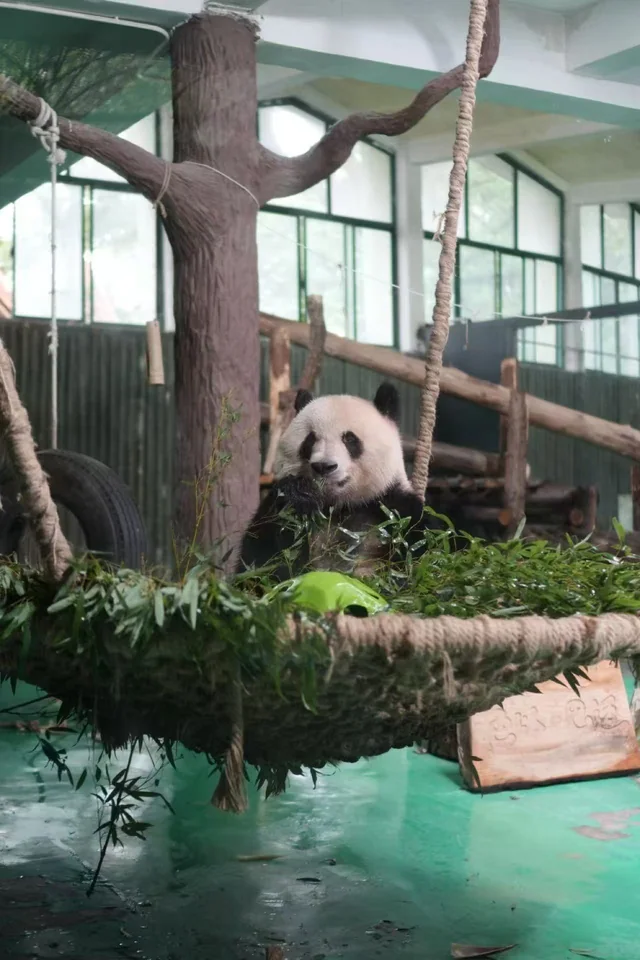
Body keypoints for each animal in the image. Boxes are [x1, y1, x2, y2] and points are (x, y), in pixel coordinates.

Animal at [237, 381, 464, 581]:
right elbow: (261, 561)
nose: (324, 466)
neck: (338, 507)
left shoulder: (396, 509)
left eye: (349, 439)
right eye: (310, 440)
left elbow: (429, 558)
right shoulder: (274, 508)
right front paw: (298, 496)